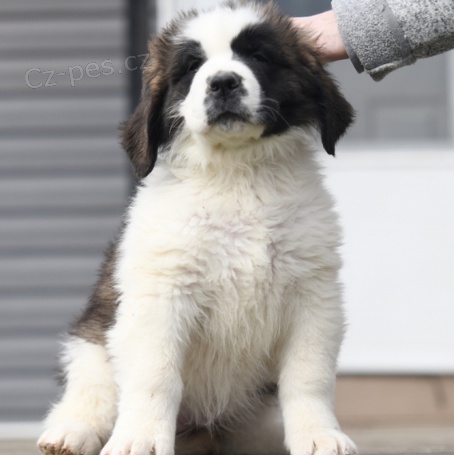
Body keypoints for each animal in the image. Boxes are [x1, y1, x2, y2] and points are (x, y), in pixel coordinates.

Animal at [39, 0, 356, 455]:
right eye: (192, 67)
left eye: (259, 56)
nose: (223, 83)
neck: (236, 173)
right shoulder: (161, 295)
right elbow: (155, 375)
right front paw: (140, 439)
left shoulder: (313, 295)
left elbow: (307, 375)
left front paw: (319, 435)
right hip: (92, 342)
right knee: (91, 393)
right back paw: (71, 431)